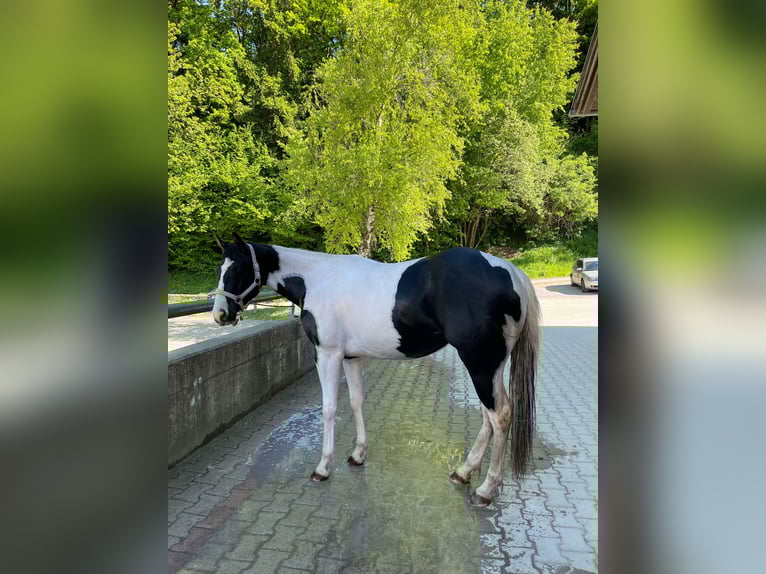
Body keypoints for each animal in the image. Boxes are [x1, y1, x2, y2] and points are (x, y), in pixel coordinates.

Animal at [210, 232, 540, 506]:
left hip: (480, 363)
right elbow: (357, 402)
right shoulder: (351, 358)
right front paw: (357, 455)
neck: (318, 278)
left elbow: (329, 408)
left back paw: (485, 490)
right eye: (219, 270)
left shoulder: (327, 355)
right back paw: (464, 471)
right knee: (489, 417)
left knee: (500, 416)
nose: (220, 315)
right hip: (486, 366)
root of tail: (512, 273)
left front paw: (323, 467)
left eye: (237, 270)